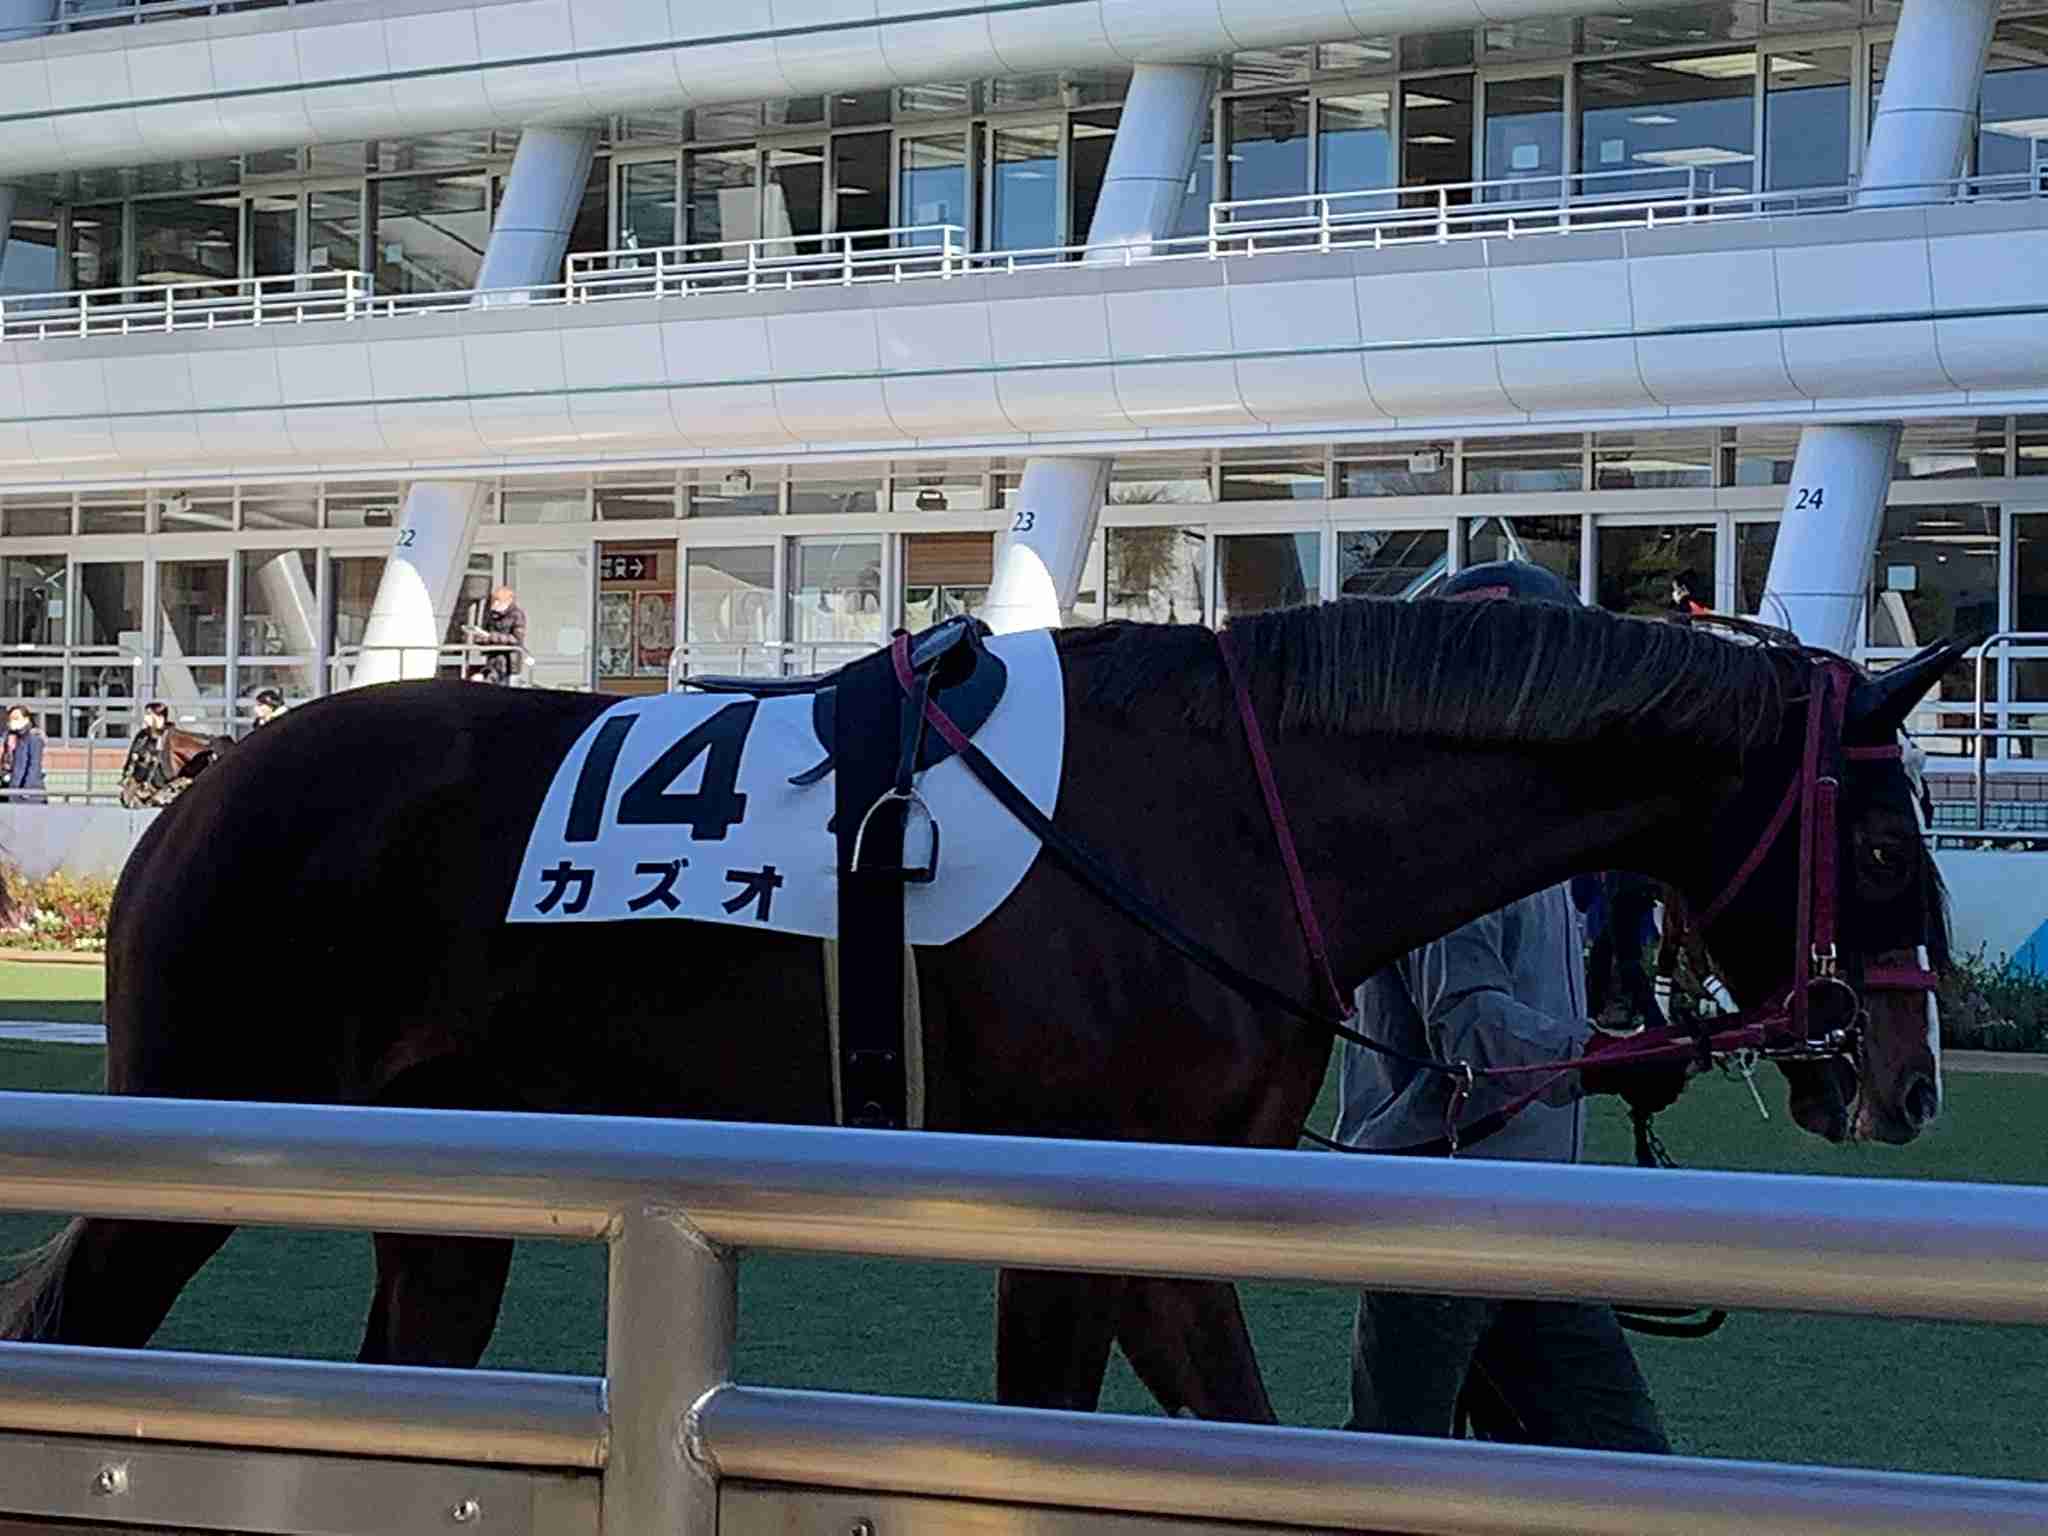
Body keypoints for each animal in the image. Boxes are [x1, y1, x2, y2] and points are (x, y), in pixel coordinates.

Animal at [0, 597, 1957, 1425]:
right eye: (1874, 831)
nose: (1903, 1074)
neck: (1225, 808)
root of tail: (201, 784)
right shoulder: (1090, 1202)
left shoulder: (1141, 1219)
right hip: (197, 1138)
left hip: (445, 1195)